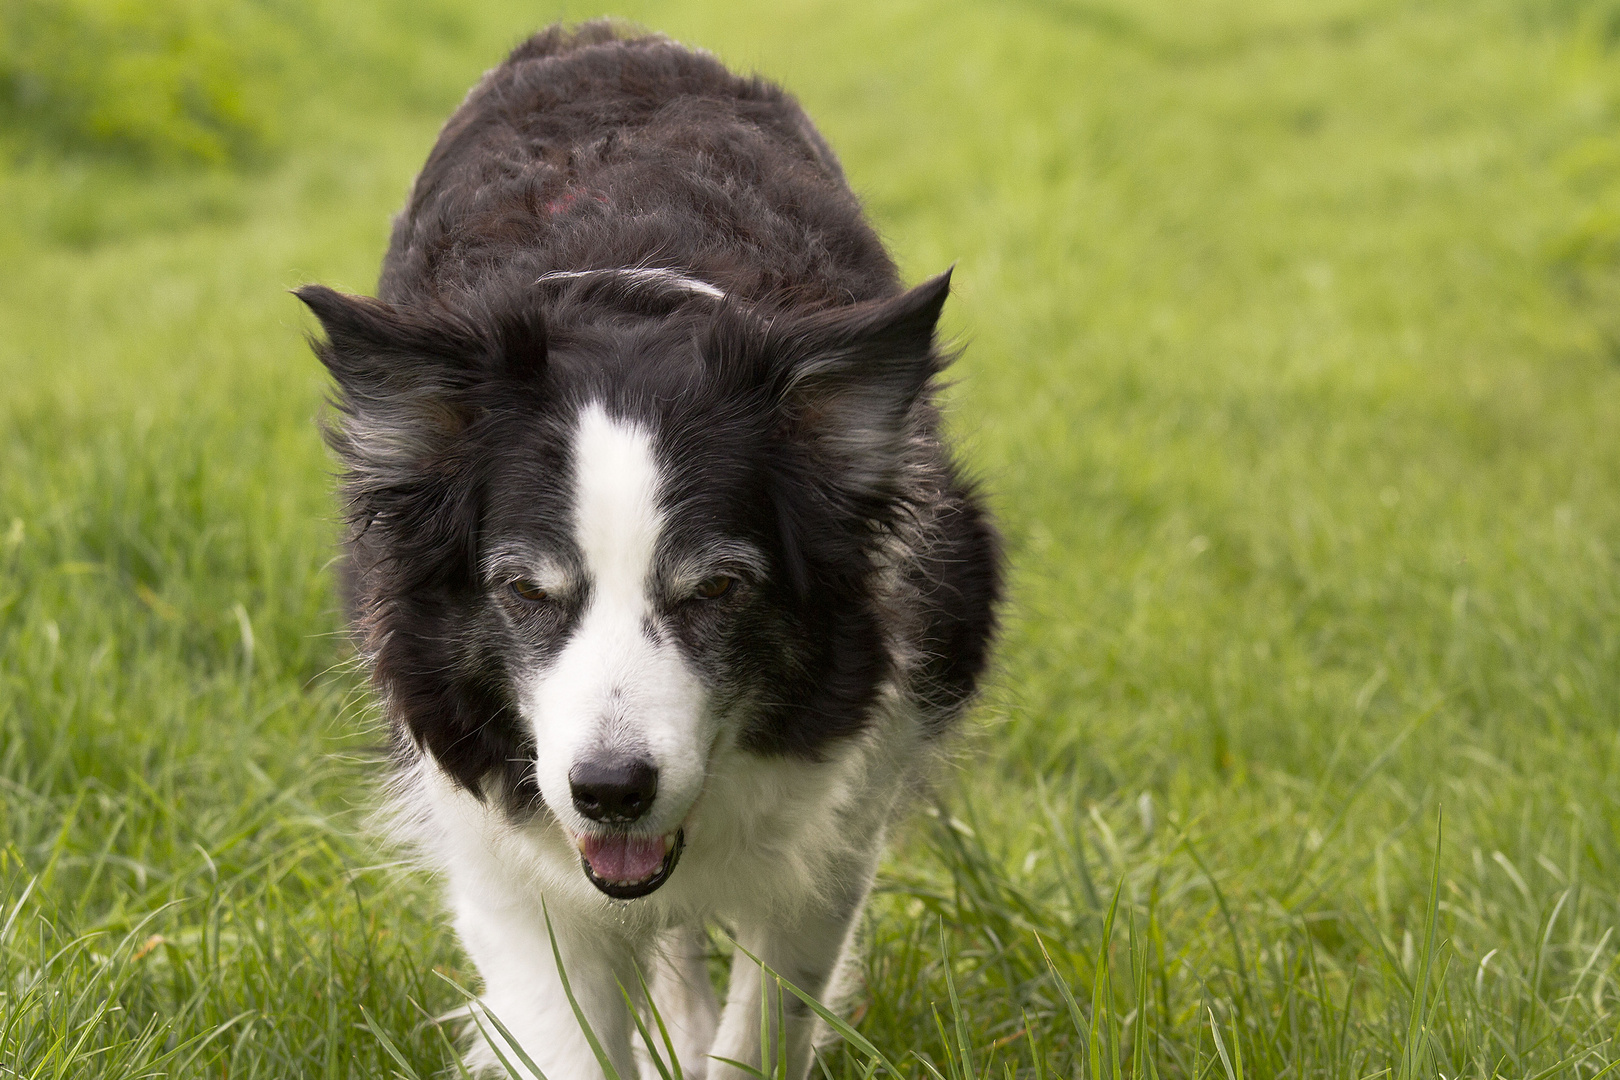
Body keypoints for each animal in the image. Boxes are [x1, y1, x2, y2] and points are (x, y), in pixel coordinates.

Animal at [294, 19, 997, 1080]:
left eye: (719, 590)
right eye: (523, 592)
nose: (612, 792)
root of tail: (598, 32)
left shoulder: (841, 816)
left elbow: (770, 1015)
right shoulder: (503, 852)